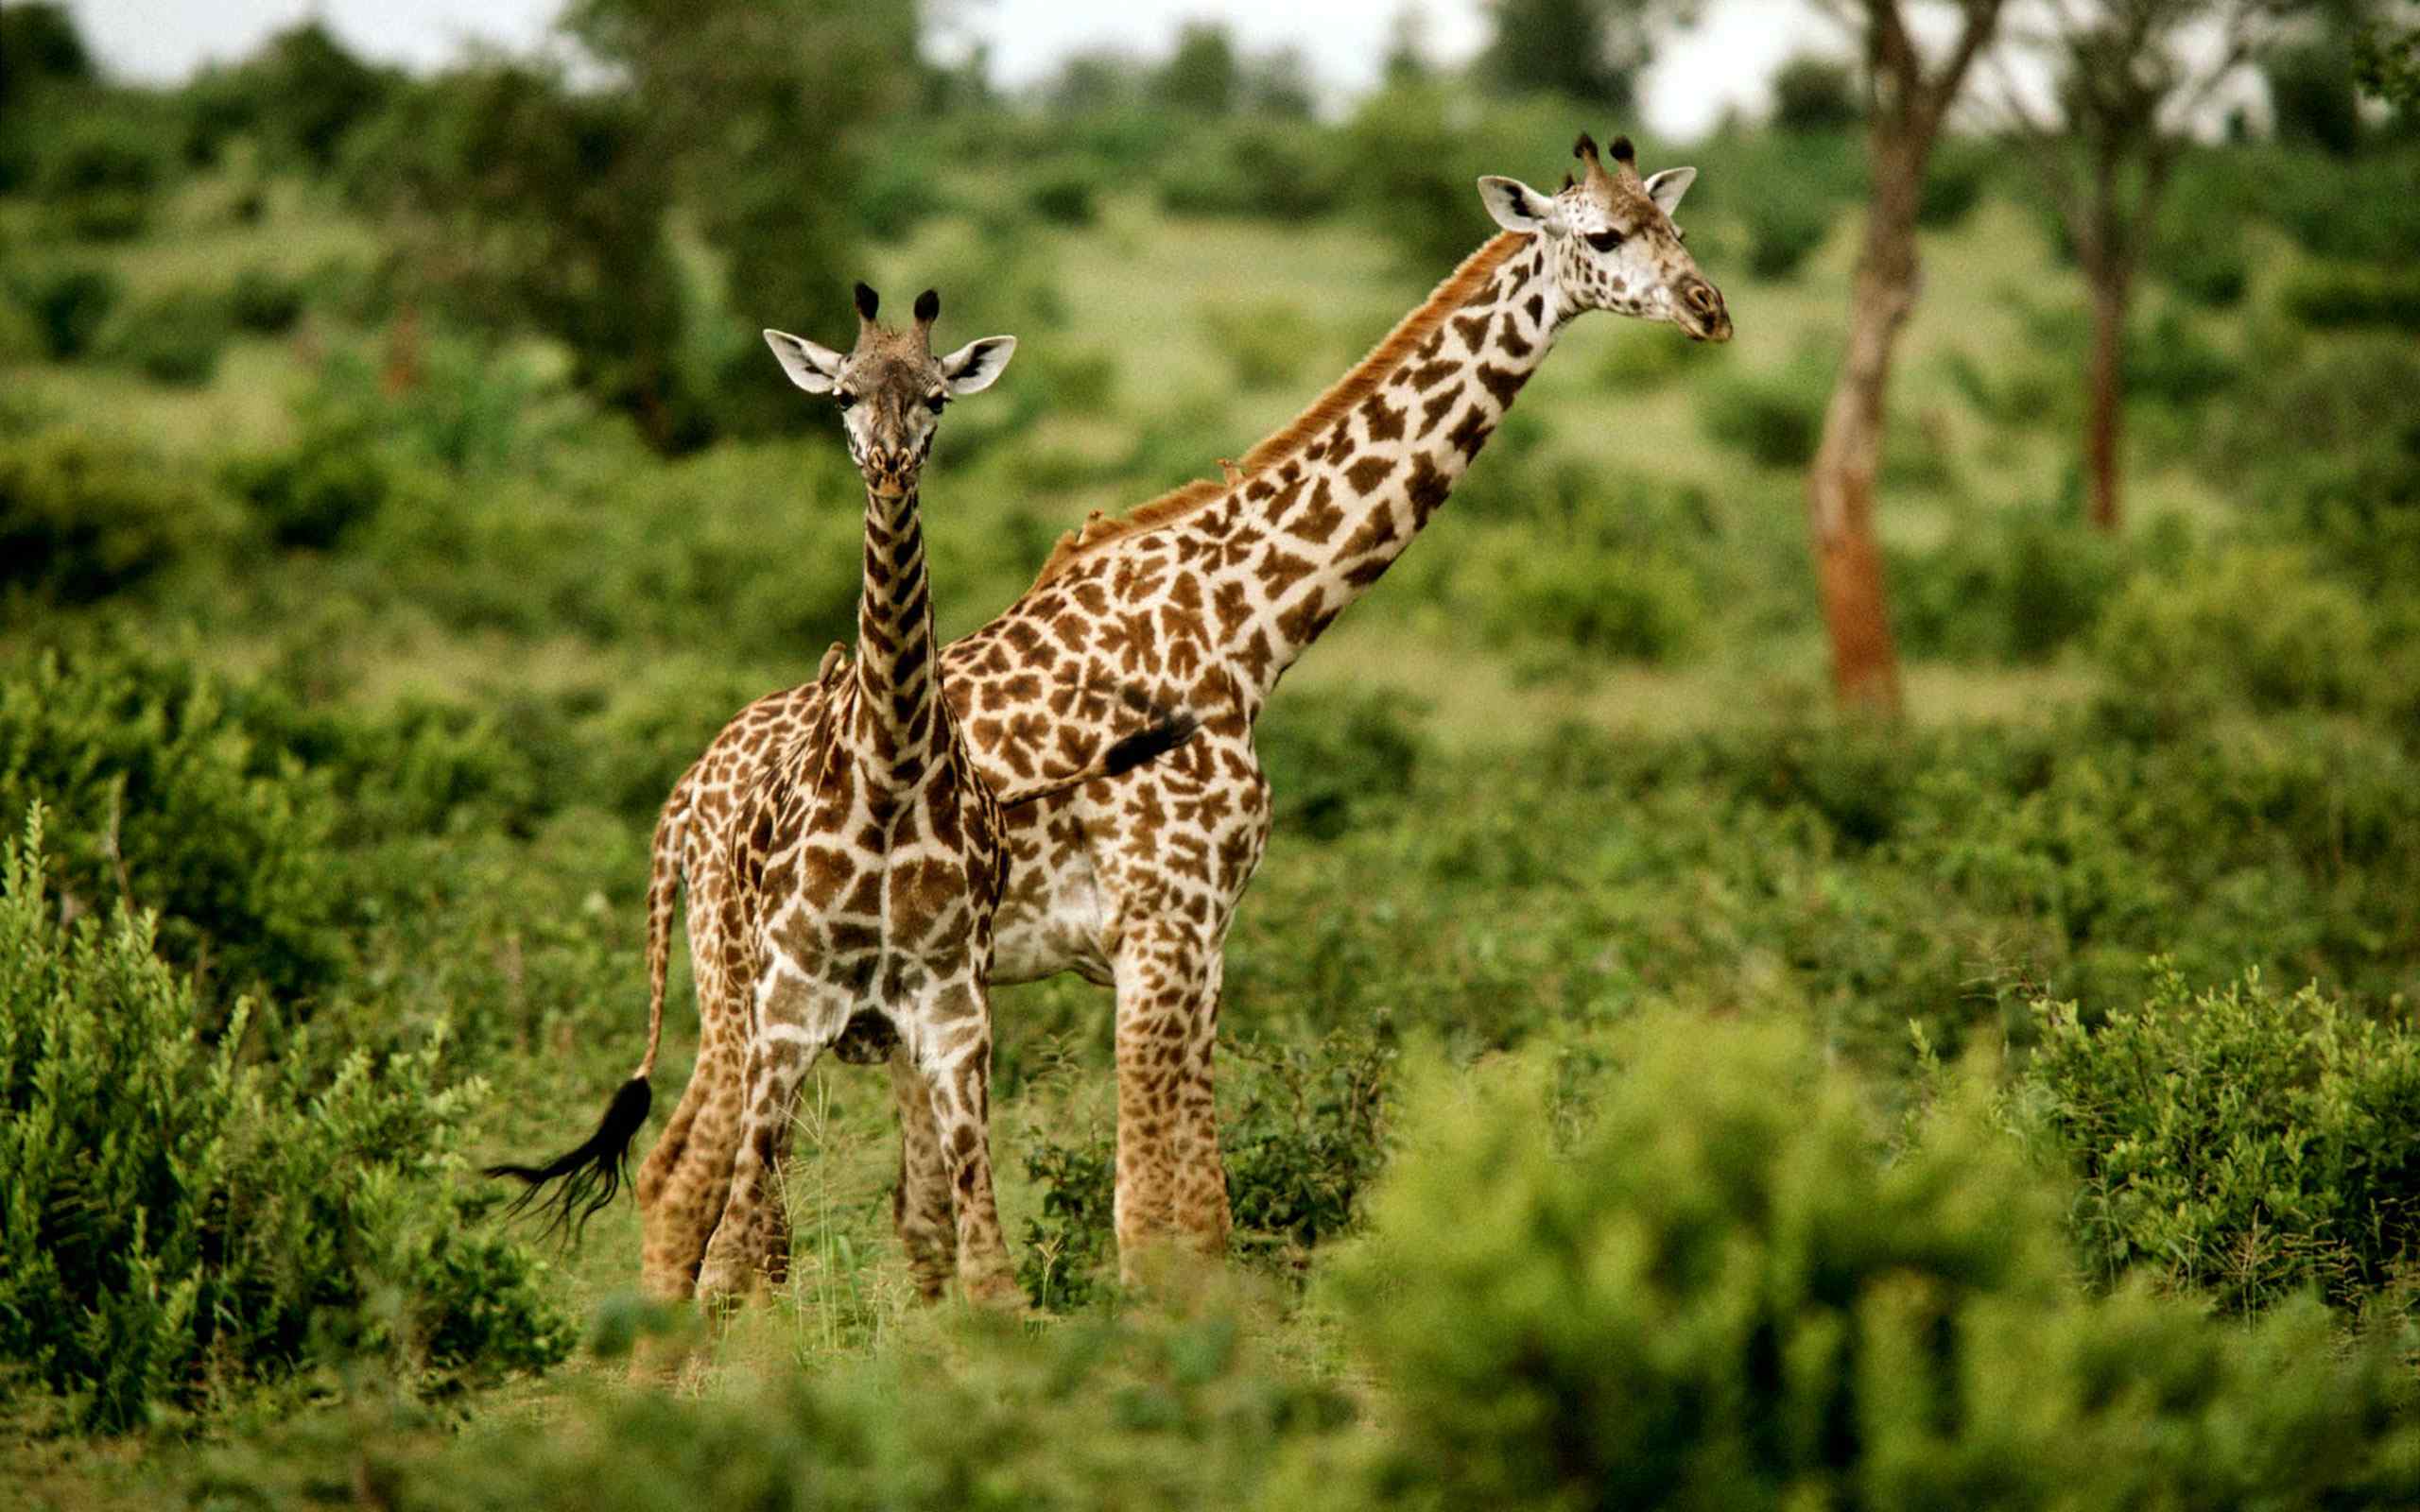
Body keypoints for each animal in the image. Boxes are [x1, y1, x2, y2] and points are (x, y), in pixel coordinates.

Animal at [495, 288, 1195, 1306]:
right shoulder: (791, 1009)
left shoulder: (953, 1016)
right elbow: (730, 1257)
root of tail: (681, 799)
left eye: (938, 396)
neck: (893, 771)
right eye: (842, 396)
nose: (891, 463)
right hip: (740, 1008)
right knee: (722, 1212)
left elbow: (988, 1261)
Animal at [624, 132, 1722, 1297]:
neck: (1246, 627)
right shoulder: (1164, 919)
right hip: (747, 977)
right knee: (684, 1176)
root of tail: (686, 797)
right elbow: (1160, 1221)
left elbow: (1191, 1210)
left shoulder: (1204, 933)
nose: (1708, 308)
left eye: (1675, 228)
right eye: (1602, 236)